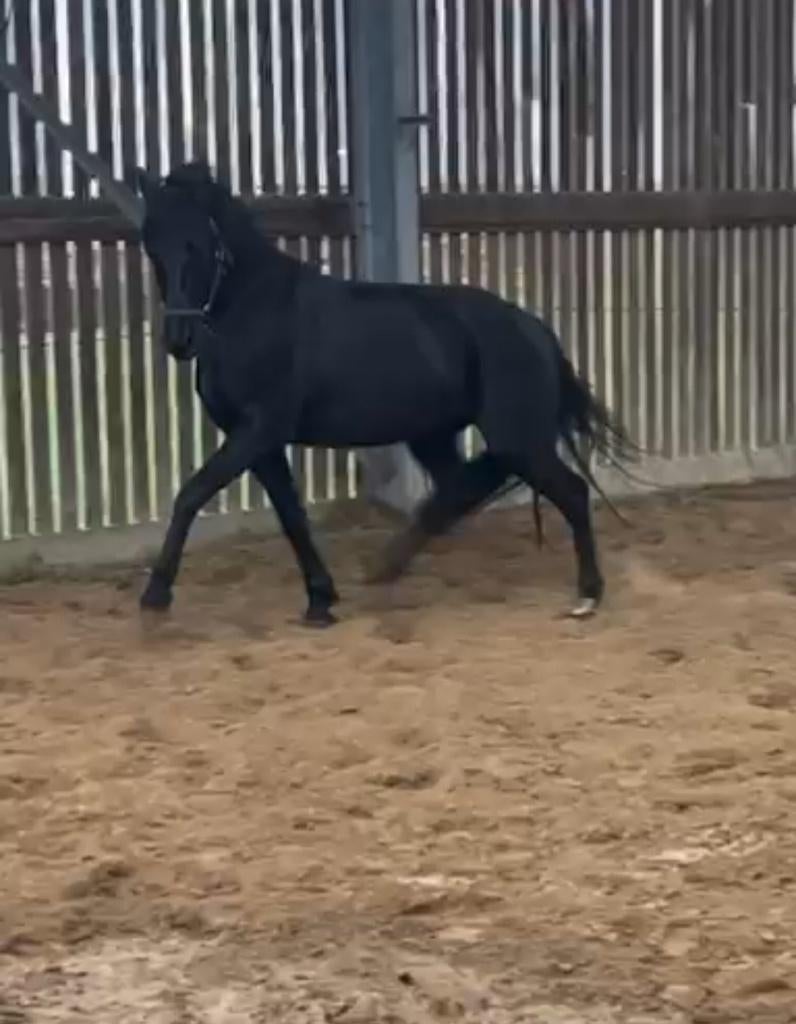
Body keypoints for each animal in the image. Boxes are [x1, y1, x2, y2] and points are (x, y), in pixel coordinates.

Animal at [134, 161, 636, 627]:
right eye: (151, 244)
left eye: (198, 243)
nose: (179, 341)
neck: (256, 311)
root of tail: (536, 330)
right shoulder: (261, 443)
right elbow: (291, 516)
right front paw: (320, 600)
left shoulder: (258, 430)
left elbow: (192, 494)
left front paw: (156, 596)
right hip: (436, 435)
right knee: (463, 486)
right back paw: (386, 567)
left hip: (517, 437)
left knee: (568, 491)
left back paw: (587, 596)